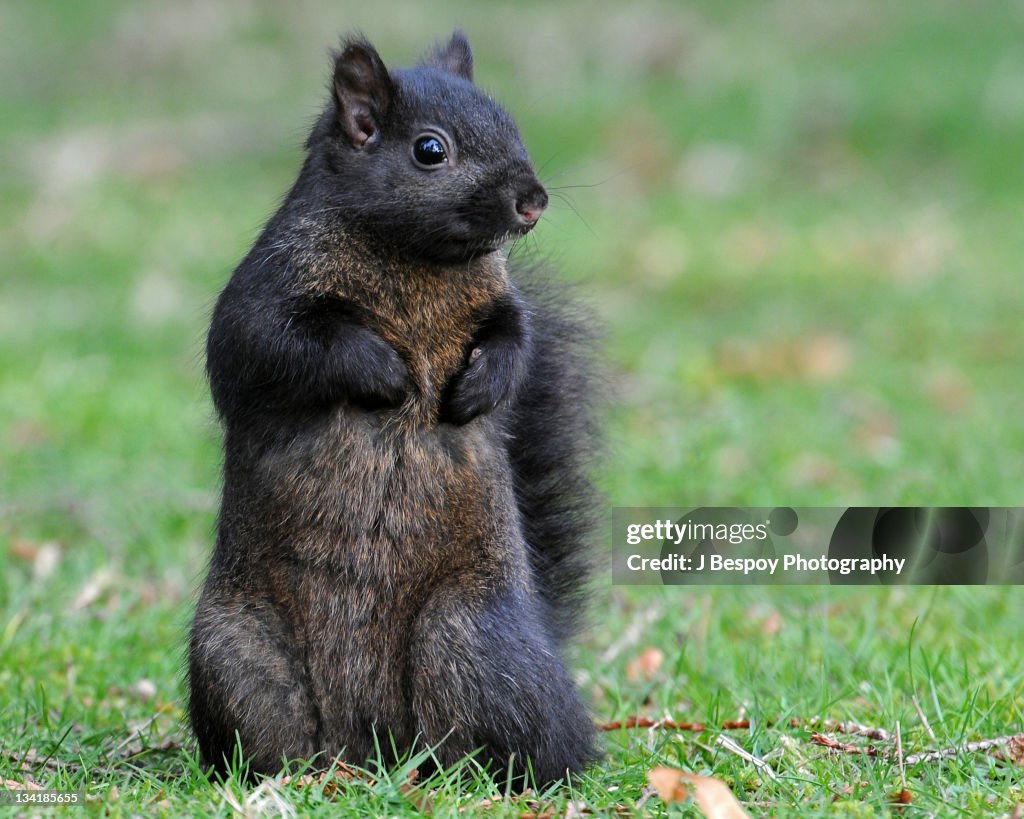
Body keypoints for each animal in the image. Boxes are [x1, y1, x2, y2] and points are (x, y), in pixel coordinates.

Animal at [187, 31, 601, 787]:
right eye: (430, 150)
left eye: (512, 123)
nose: (533, 202)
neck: (418, 258)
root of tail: (371, 745)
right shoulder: (263, 296)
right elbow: (271, 345)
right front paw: (385, 370)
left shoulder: (501, 307)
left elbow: (516, 341)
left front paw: (478, 387)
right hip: (237, 652)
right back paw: (284, 777)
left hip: (467, 637)